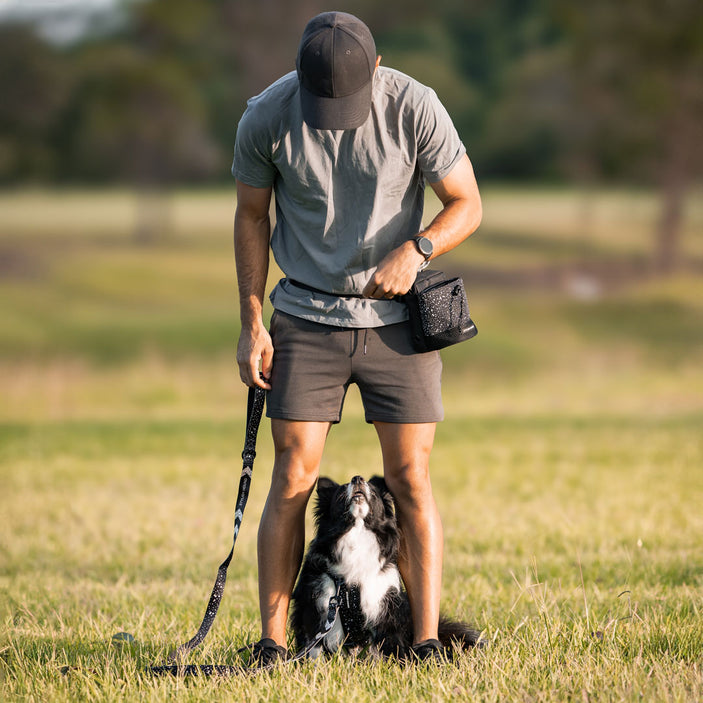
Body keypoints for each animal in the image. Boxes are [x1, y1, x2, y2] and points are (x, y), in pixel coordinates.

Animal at [292, 476, 484, 656]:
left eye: (373, 492)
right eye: (341, 492)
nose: (357, 478)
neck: (357, 533)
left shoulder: (385, 605)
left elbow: (391, 645)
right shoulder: (316, 605)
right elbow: (315, 647)